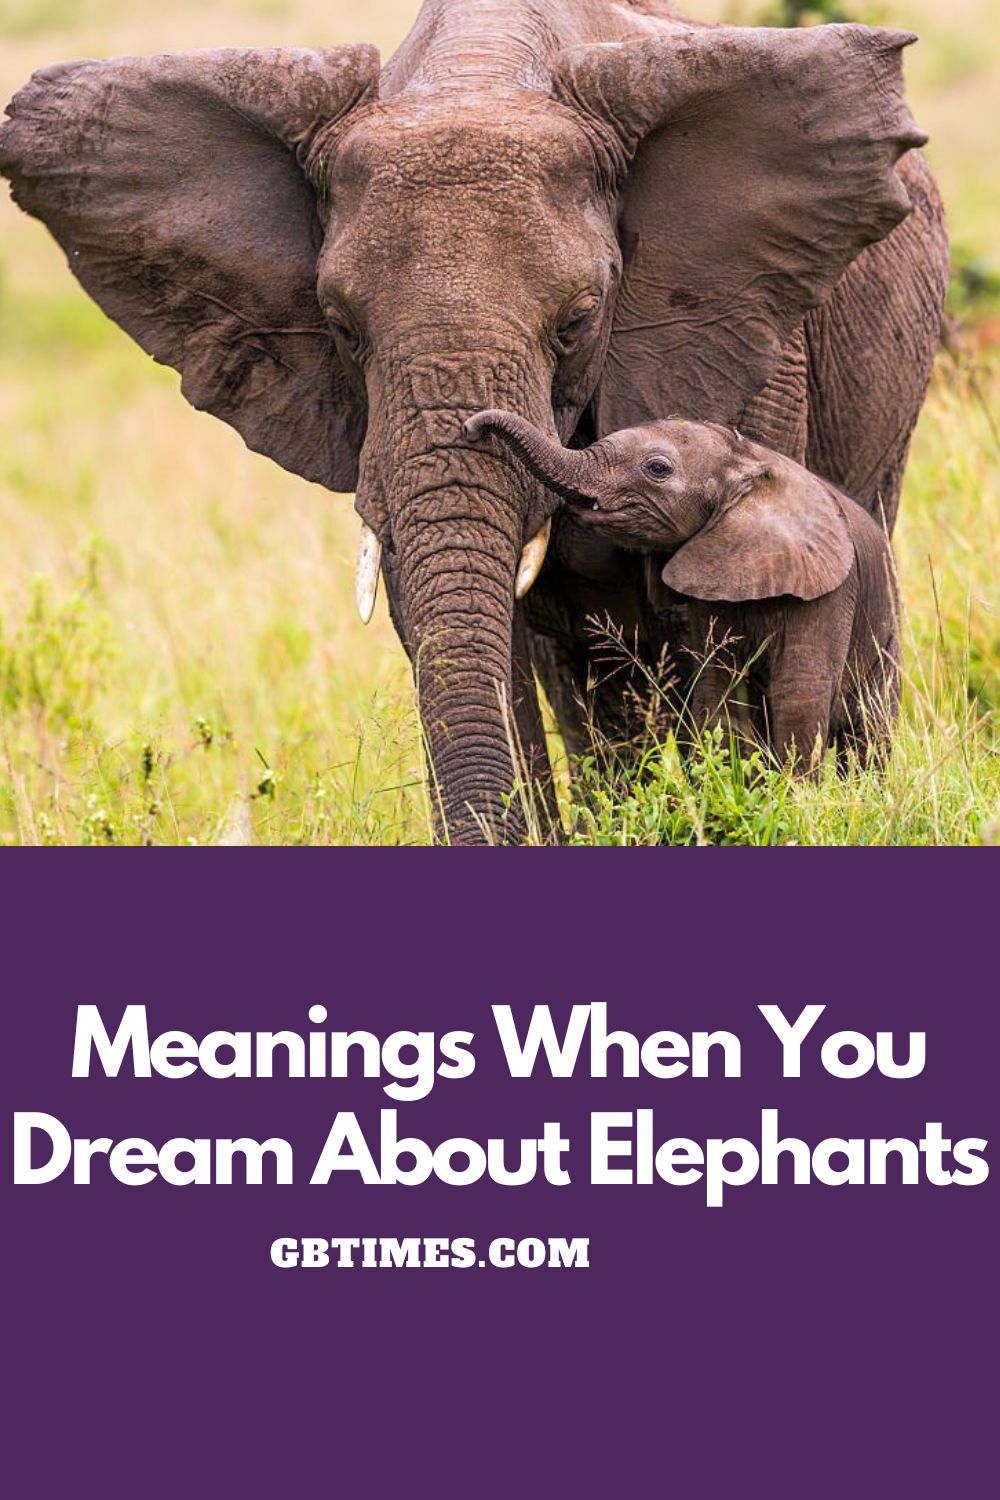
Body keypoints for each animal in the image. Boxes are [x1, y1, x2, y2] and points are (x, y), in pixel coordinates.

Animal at [465, 410, 899, 766]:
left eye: (657, 468)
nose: (470, 428)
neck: (748, 461)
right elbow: (716, 686)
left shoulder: (827, 593)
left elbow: (799, 694)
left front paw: (793, 796)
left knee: (869, 731)